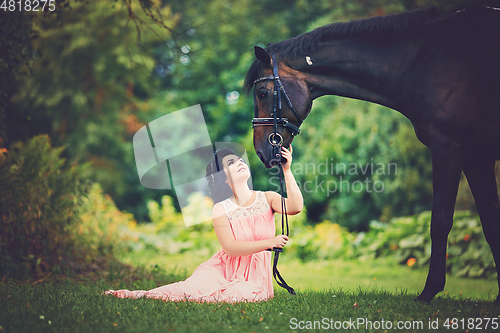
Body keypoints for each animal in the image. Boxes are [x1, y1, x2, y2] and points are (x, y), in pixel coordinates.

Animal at [245, 5, 500, 304]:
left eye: (263, 92)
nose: (261, 150)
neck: (423, 62)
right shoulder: (476, 157)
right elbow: (491, 222)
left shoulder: (448, 146)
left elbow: (440, 220)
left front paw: (429, 291)